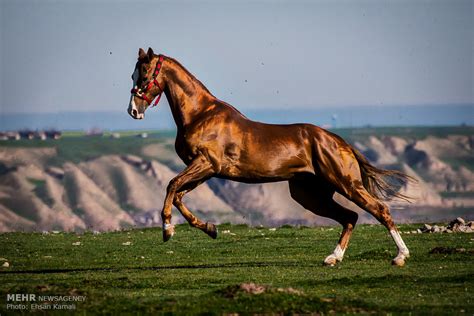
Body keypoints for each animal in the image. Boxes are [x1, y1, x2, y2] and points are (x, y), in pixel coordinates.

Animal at [128, 47, 412, 266]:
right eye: (133, 74)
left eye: (144, 74)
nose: (133, 111)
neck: (201, 114)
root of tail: (340, 142)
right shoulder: (205, 170)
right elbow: (178, 195)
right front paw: (210, 229)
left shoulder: (206, 164)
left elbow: (171, 185)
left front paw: (167, 230)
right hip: (310, 194)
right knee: (350, 217)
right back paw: (333, 258)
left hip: (345, 183)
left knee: (380, 210)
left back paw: (400, 256)